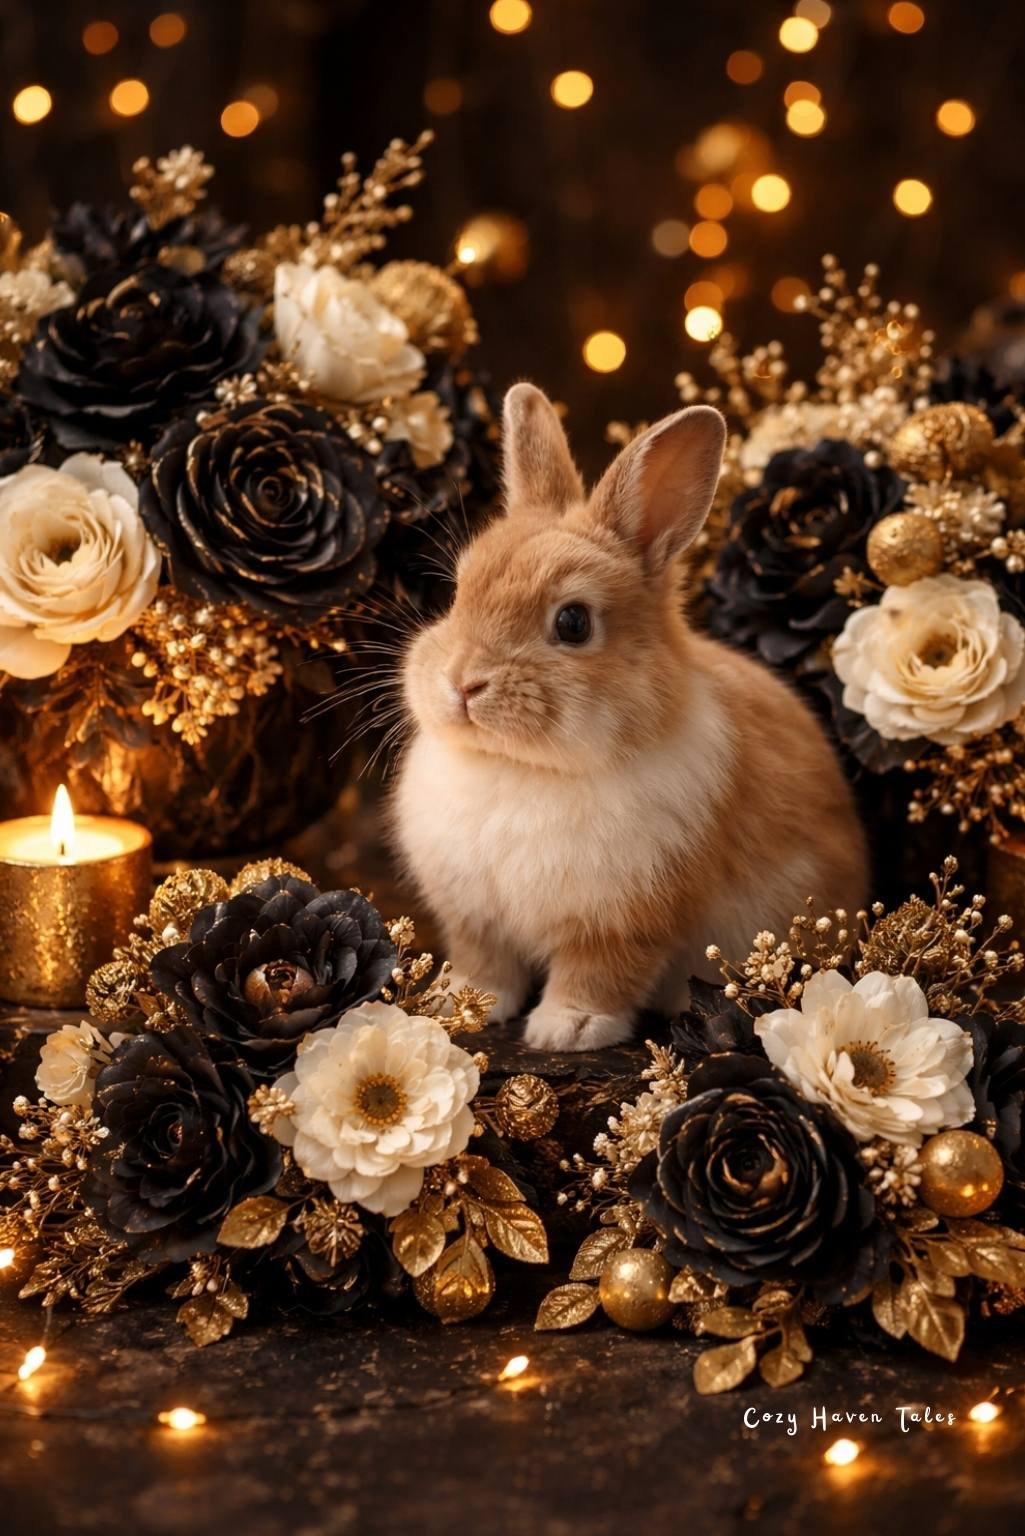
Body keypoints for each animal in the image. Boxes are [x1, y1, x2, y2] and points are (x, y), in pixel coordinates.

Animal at [392, 382, 867, 1052]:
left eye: (573, 622)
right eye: (458, 593)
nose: (462, 682)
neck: (524, 768)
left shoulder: (627, 918)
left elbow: (601, 973)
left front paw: (566, 1030)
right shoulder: (476, 918)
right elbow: (486, 967)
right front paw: (460, 1005)